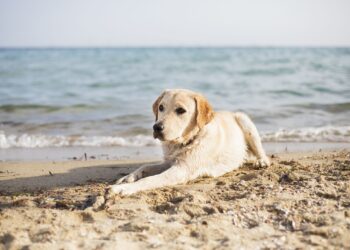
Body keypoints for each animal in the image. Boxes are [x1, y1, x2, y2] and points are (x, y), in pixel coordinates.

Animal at [109, 89, 270, 196]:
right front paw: (127, 178)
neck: (185, 142)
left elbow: (149, 180)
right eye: (161, 107)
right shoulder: (170, 162)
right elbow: (146, 166)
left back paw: (262, 161)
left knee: (261, 151)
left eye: (181, 110)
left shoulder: (181, 169)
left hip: (245, 121)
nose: (157, 127)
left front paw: (123, 189)